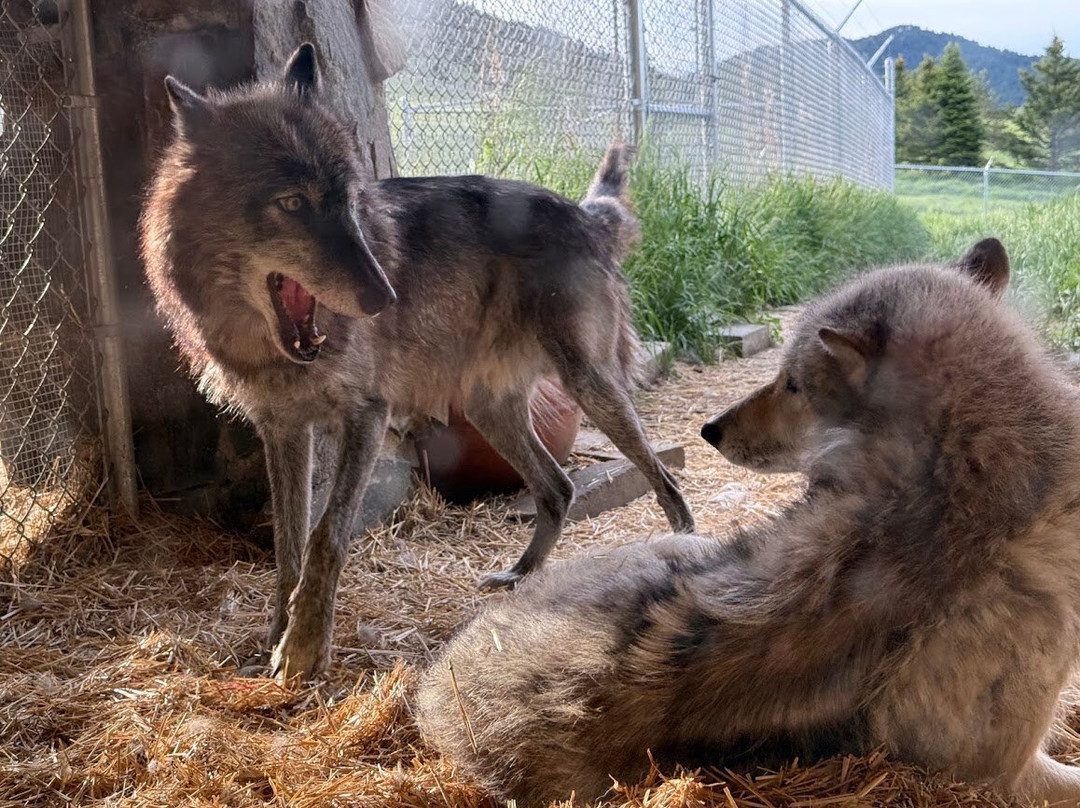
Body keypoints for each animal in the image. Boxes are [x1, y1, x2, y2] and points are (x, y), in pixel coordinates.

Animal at [139, 43, 693, 681]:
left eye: (351, 202)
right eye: (293, 203)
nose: (386, 297)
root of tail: (582, 212)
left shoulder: (367, 416)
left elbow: (325, 537)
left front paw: (303, 650)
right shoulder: (283, 431)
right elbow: (287, 547)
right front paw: (275, 639)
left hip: (590, 386)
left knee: (665, 480)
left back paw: (685, 555)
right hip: (491, 411)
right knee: (557, 488)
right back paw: (522, 579)